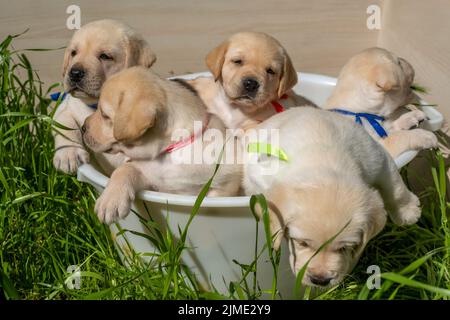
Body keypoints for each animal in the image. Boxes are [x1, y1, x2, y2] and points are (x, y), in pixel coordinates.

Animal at [51, 19, 155, 175]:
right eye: (74, 53)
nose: (74, 73)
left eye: (105, 56)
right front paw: (69, 154)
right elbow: (65, 127)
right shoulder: (66, 106)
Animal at [81, 66, 243, 224]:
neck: (172, 149)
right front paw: (110, 200)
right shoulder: (148, 176)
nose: (82, 127)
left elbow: (217, 195)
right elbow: (124, 169)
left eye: (104, 115)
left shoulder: (227, 181)